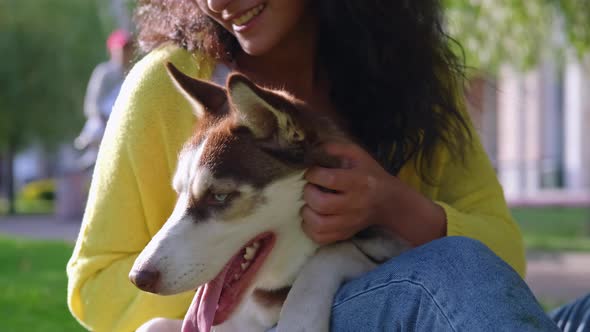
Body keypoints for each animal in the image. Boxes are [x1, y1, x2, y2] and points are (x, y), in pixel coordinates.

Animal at [130, 63, 410, 332]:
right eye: (179, 192)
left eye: (219, 196)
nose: (138, 278)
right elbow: (149, 324)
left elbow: (333, 253)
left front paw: (299, 318)